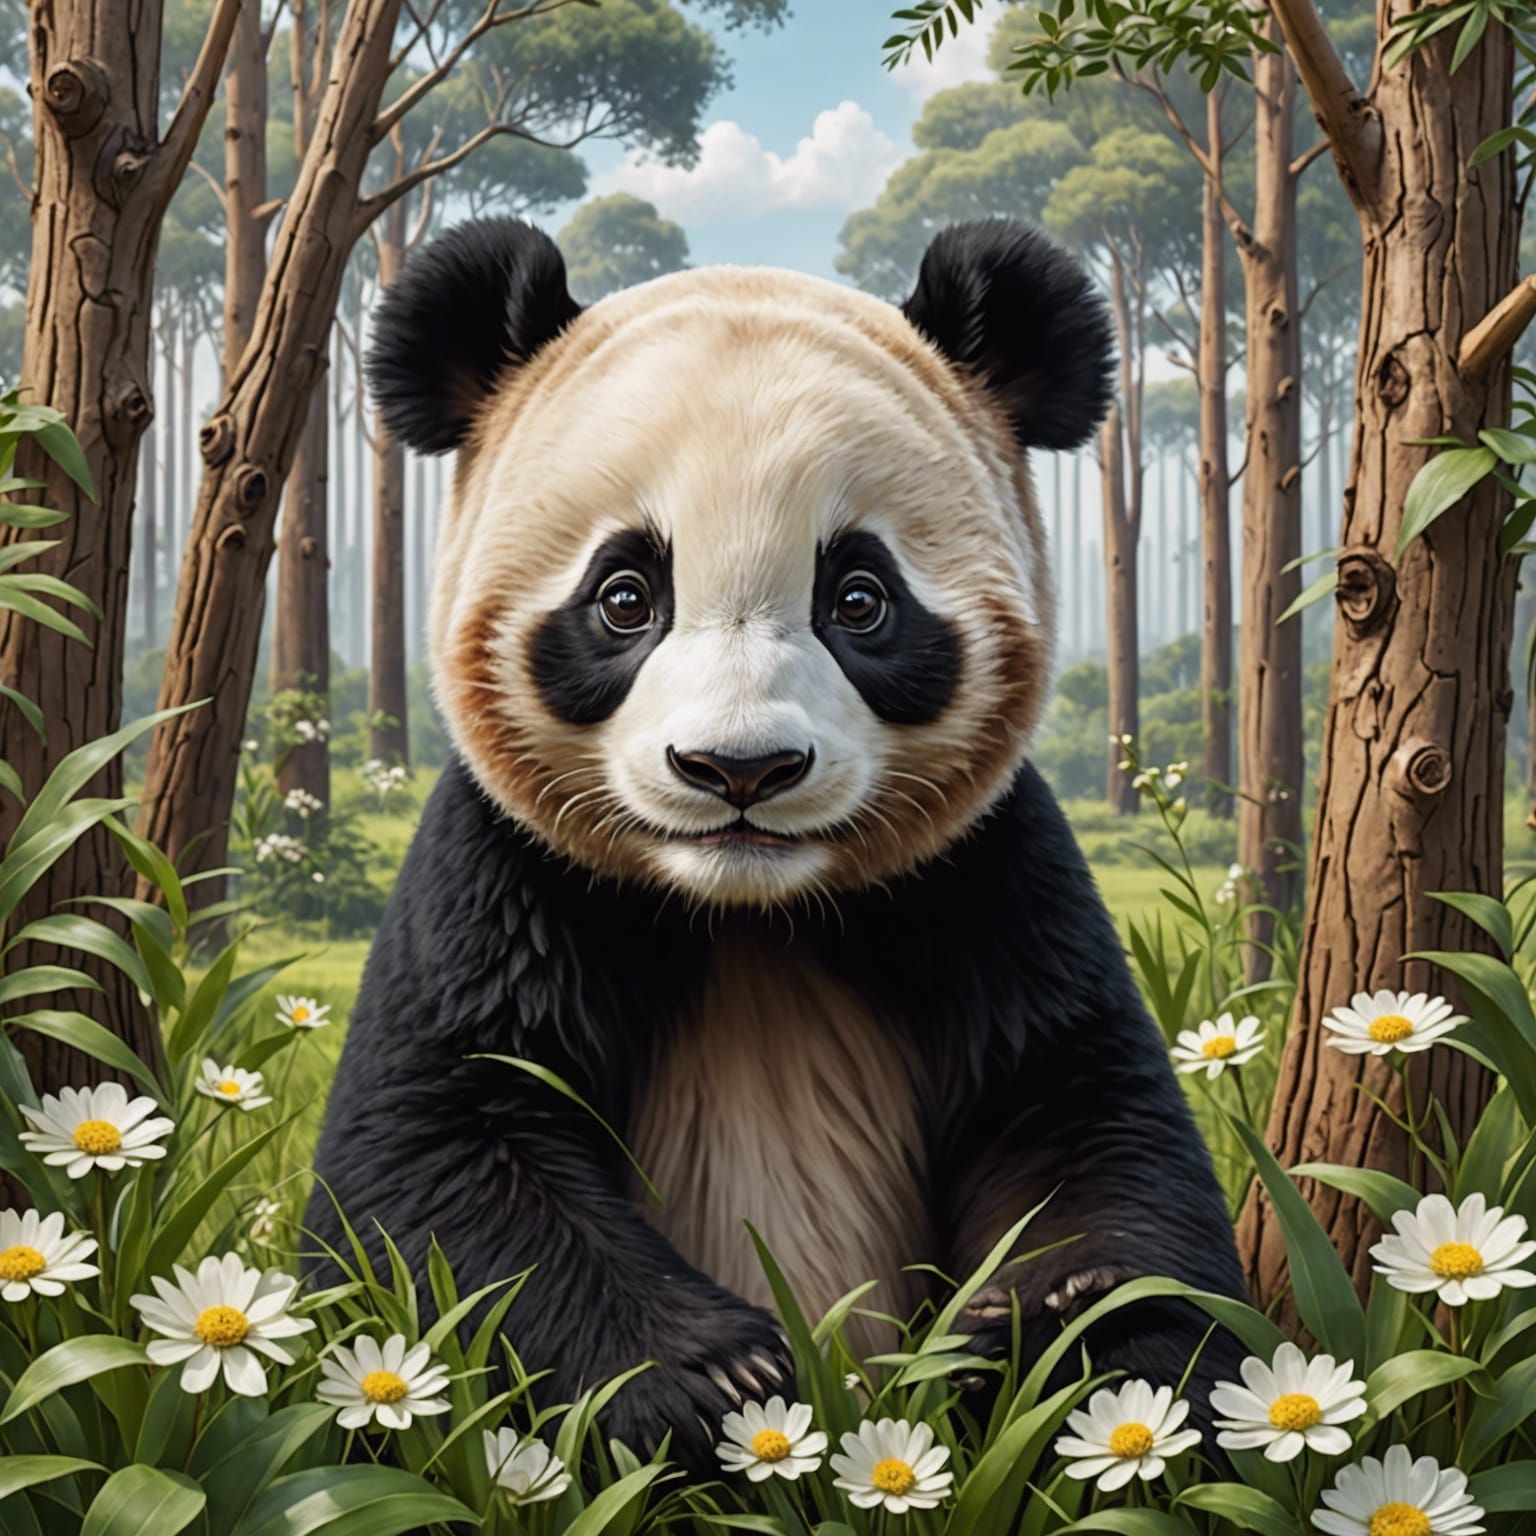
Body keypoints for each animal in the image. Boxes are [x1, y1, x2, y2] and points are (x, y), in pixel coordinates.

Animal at [308, 216, 1246, 1471]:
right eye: (623, 596)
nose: (739, 770)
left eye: (859, 598)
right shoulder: (502, 875)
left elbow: (1084, 1113)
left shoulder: (993, 878)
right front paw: (724, 1383)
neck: (748, 912)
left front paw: (1060, 1337)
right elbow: (436, 1149)